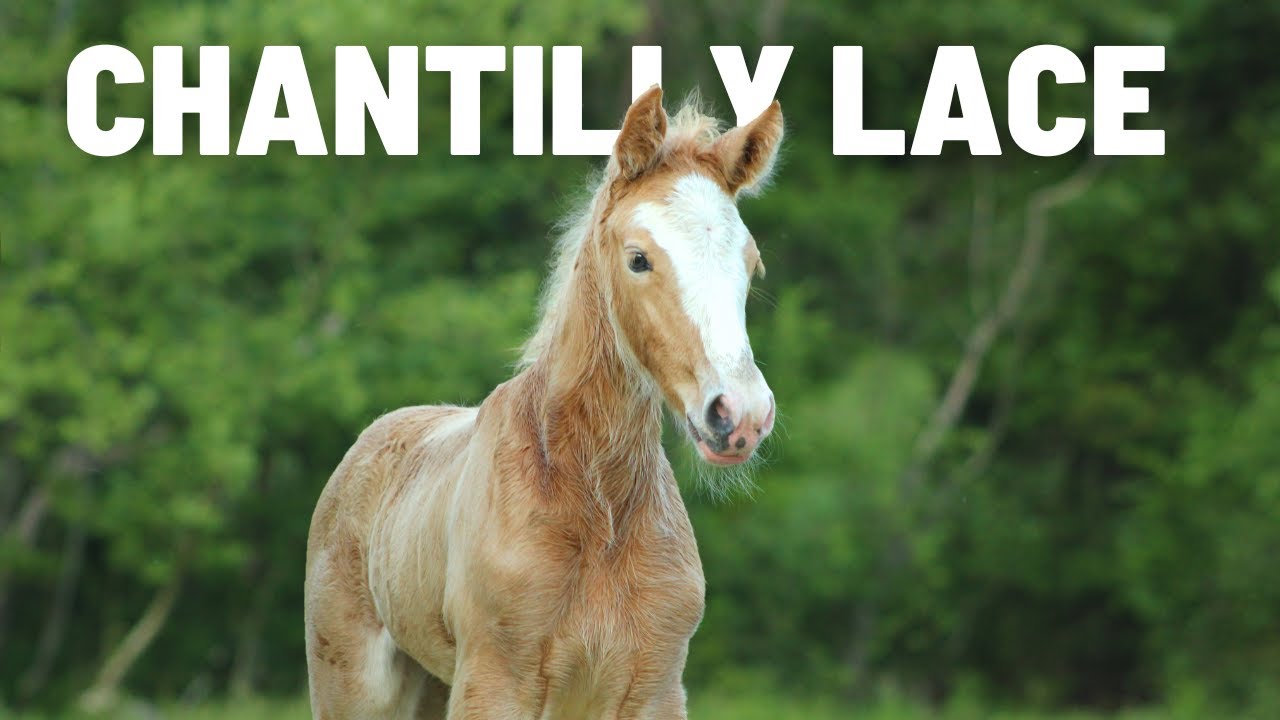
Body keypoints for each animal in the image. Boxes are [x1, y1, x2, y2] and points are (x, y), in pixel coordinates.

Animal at [304, 85, 784, 720]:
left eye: (751, 265)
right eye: (639, 258)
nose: (740, 415)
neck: (596, 505)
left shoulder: (655, 688)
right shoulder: (495, 683)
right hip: (354, 687)